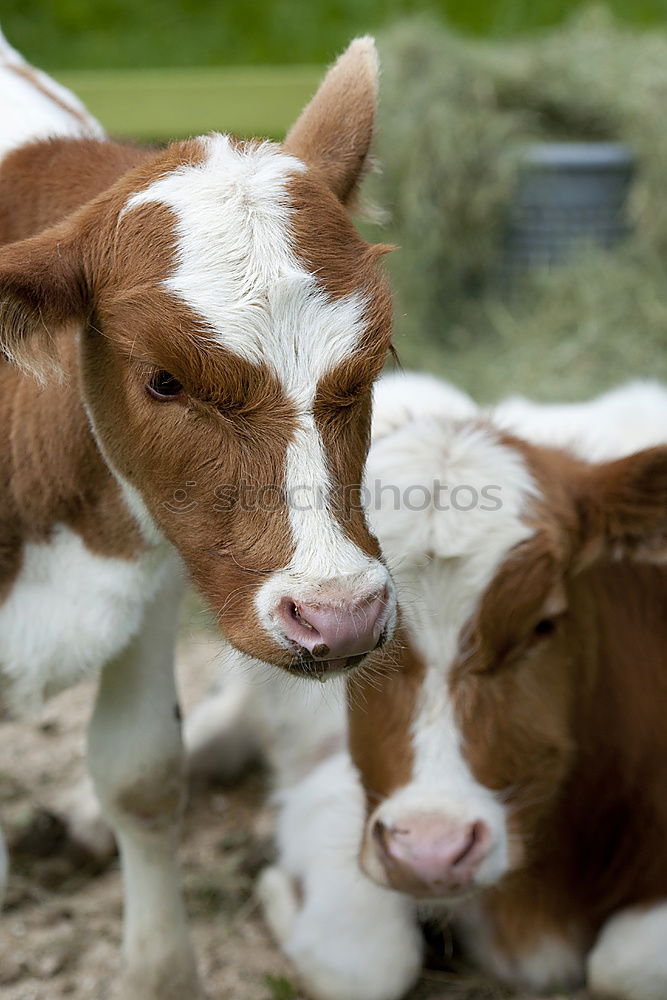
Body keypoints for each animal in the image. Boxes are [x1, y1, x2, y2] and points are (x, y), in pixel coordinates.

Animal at [187, 376, 667, 1000]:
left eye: (542, 624)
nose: (431, 853)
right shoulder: (338, 788)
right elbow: (367, 965)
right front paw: (277, 890)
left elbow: (623, 967)